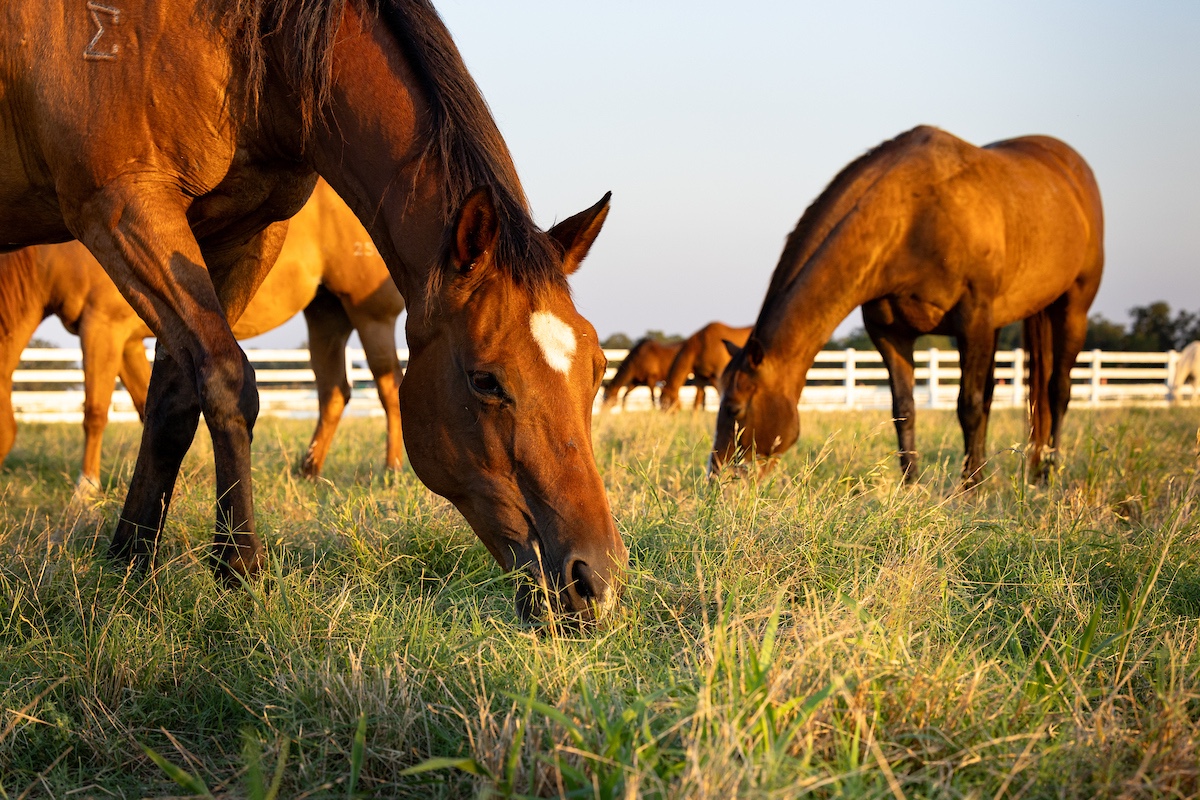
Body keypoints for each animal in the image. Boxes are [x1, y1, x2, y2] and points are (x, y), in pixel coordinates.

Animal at [0, 180, 405, 491]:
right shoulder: (127, 343)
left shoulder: (103, 327)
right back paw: (309, 471)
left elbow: (95, 411)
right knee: (333, 392)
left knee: (389, 388)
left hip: (371, 316)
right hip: (326, 315)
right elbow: (142, 405)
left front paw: (86, 488)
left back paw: (393, 470)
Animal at [712, 126, 1104, 487]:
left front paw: (970, 490)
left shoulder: (972, 320)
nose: (716, 476)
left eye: (734, 408)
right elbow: (904, 409)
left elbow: (968, 406)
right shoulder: (890, 333)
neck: (913, 217)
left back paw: (1047, 473)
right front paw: (911, 487)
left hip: (1072, 309)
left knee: (1057, 391)